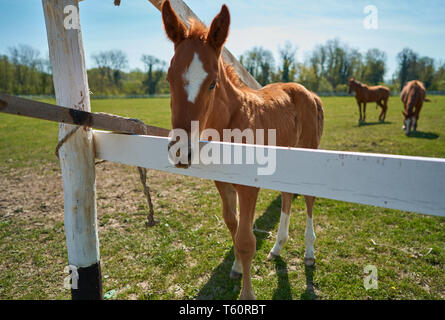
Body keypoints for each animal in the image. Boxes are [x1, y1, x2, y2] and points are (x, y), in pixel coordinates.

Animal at [160, 0, 322, 300]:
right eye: (168, 79)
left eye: (212, 82)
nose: (181, 151)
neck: (231, 125)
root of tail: (309, 93)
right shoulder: (223, 183)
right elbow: (233, 226)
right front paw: (235, 267)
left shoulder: (249, 187)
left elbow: (246, 240)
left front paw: (247, 294)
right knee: (286, 195)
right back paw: (278, 247)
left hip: (309, 153)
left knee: (308, 199)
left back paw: (308, 251)